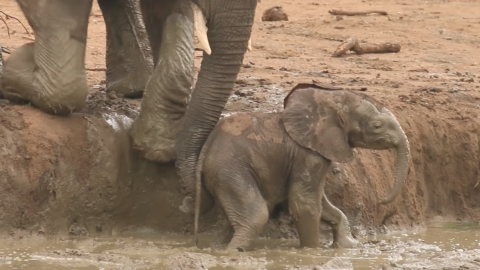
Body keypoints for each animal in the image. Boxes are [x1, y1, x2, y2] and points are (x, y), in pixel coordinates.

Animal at [190, 84, 408, 251]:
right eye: (377, 126)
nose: (382, 200)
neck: (330, 101)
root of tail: (207, 146)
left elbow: (324, 204)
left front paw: (347, 246)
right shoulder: (308, 154)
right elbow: (304, 204)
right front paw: (312, 252)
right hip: (231, 170)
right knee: (255, 217)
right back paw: (231, 253)